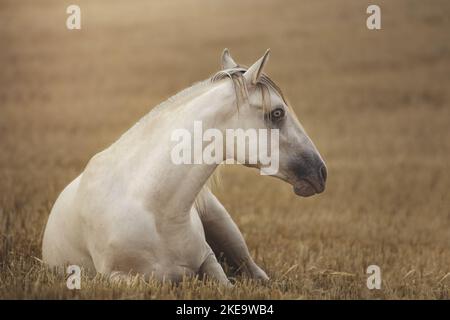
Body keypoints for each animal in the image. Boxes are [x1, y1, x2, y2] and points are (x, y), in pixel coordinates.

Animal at [43, 49, 326, 284]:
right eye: (277, 113)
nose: (321, 172)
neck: (155, 210)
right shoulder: (118, 278)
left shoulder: (209, 262)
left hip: (225, 226)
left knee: (254, 272)